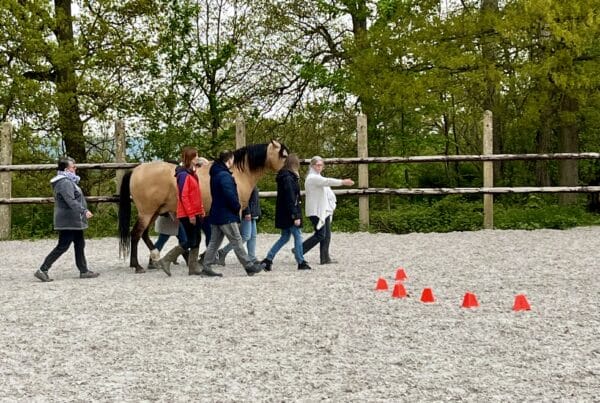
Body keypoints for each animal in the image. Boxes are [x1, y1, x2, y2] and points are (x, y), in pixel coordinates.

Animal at [118, 140, 289, 273]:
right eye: (284, 155)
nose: (291, 171)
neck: (236, 173)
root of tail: (136, 170)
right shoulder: (235, 212)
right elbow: (236, 236)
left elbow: (214, 236)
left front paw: (206, 257)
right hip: (147, 212)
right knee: (136, 234)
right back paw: (138, 266)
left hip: (153, 212)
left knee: (144, 234)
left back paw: (156, 257)